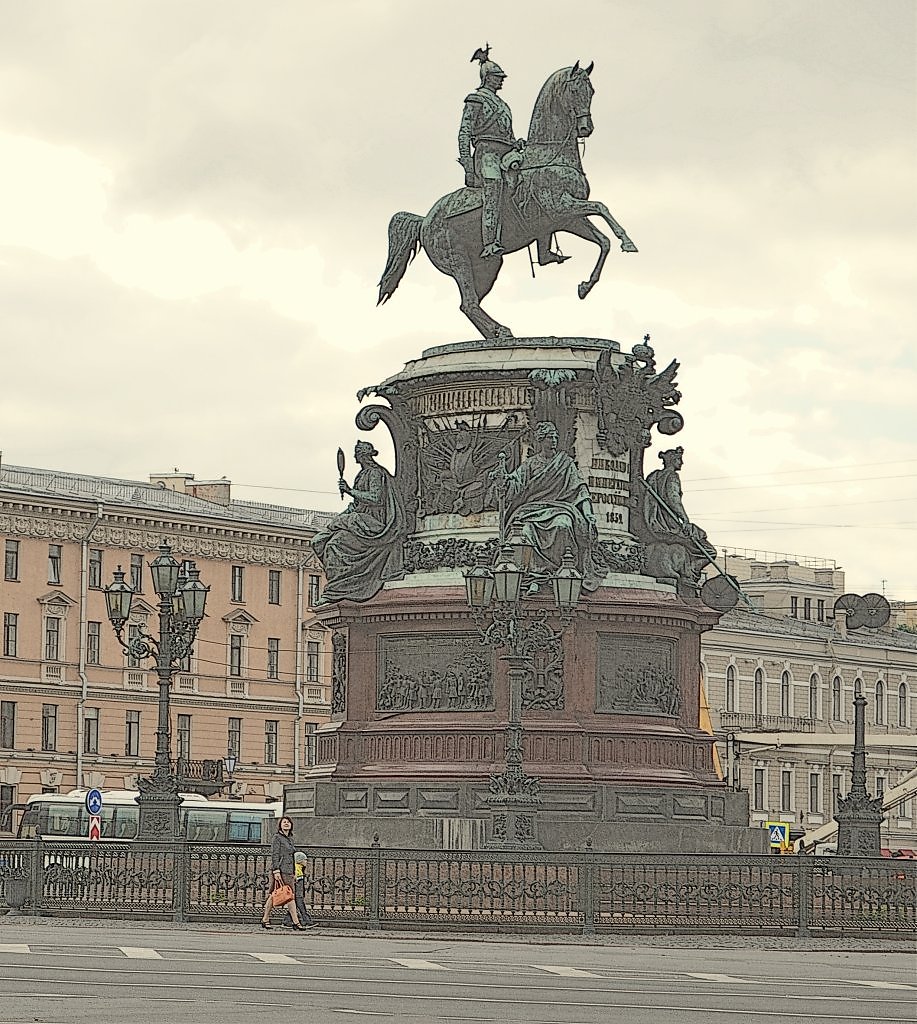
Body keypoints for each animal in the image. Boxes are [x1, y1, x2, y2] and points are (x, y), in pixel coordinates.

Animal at [376, 65, 634, 344]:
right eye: (576, 90)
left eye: (592, 90)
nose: (586, 127)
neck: (549, 158)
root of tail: (424, 220)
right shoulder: (560, 207)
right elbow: (601, 207)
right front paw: (628, 242)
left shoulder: (567, 219)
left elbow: (603, 240)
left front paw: (586, 286)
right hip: (458, 261)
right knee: (469, 303)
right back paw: (502, 331)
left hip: (486, 267)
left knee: (470, 304)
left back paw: (497, 334)